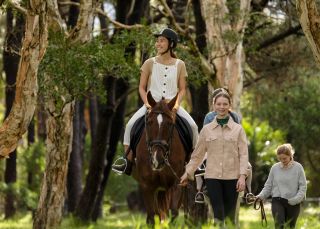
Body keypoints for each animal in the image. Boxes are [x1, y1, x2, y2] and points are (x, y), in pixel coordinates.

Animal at [132, 91, 188, 224]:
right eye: (149, 122)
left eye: (170, 123)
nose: (157, 159)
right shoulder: (147, 185)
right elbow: (151, 217)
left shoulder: (176, 183)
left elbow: (174, 214)